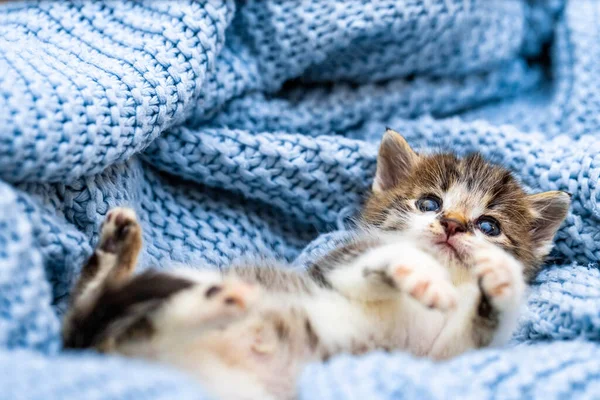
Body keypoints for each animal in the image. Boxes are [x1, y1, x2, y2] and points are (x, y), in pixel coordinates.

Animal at [63, 130, 568, 398]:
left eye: (488, 226)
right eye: (429, 202)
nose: (452, 225)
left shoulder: (438, 354)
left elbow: (471, 333)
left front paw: (499, 282)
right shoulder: (334, 264)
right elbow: (376, 258)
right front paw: (413, 268)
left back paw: (214, 300)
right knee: (87, 315)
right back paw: (119, 249)